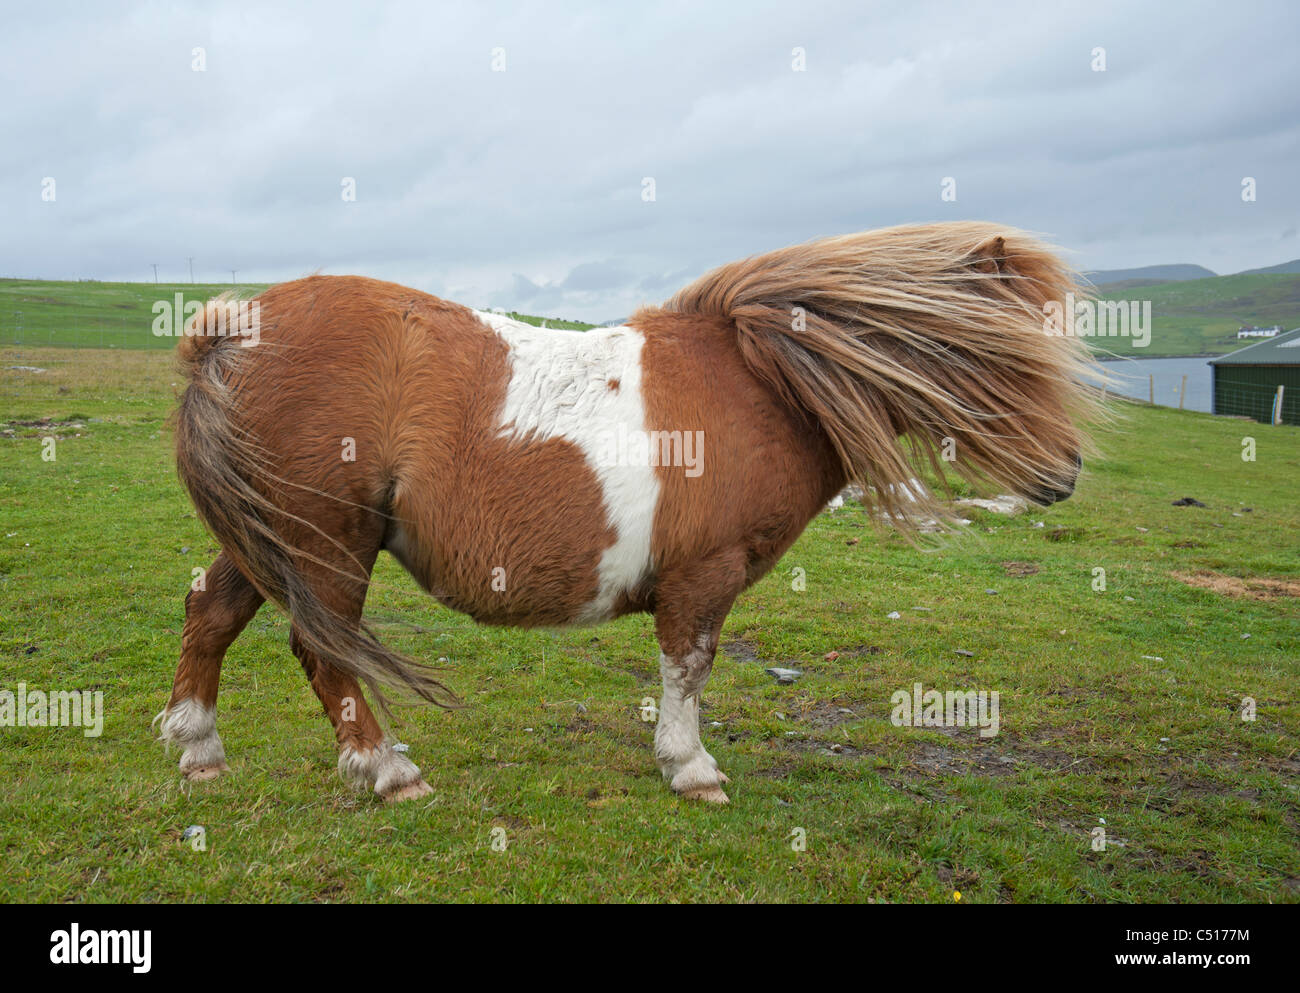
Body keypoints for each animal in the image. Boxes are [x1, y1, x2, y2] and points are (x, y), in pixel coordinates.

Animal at [159, 220, 1097, 800]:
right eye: (1014, 357)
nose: (1066, 476)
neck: (764, 379)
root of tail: (232, 329)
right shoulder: (703, 575)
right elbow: (689, 669)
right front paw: (691, 767)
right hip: (325, 541)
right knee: (321, 651)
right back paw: (386, 770)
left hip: (271, 538)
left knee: (211, 610)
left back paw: (199, 747)